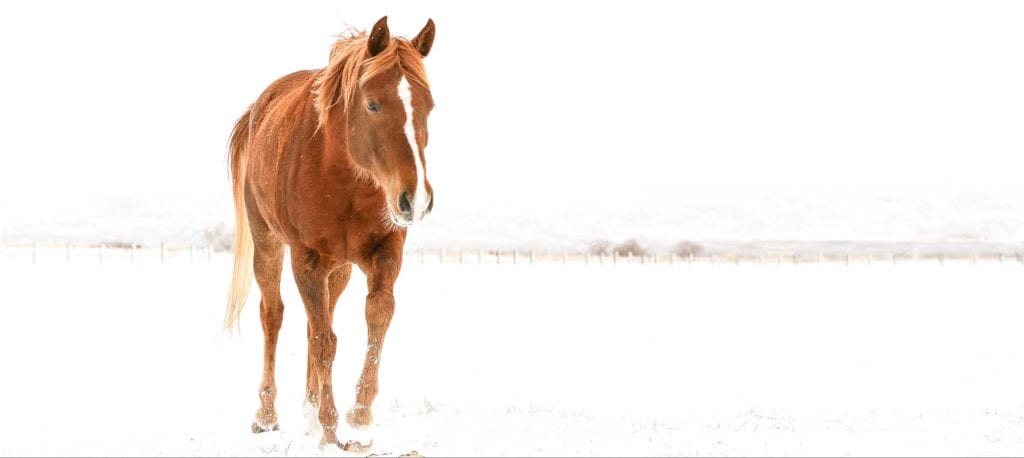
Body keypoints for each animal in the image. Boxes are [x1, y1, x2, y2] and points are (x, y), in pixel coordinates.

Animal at [224, 17, 436, 450]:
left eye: (429, 106)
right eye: (372, 104)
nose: (416, 199)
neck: (348, 180)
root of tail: (260, 106)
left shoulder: (387, 251)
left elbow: (376, 320)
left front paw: (358, 420)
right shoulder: (306, 259)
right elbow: (325, 341)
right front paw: (330, 426)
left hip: (339, 269)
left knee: (315, 321)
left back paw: (308, 411)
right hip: (269, 244)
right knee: (273, 315)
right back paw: (266, 415)